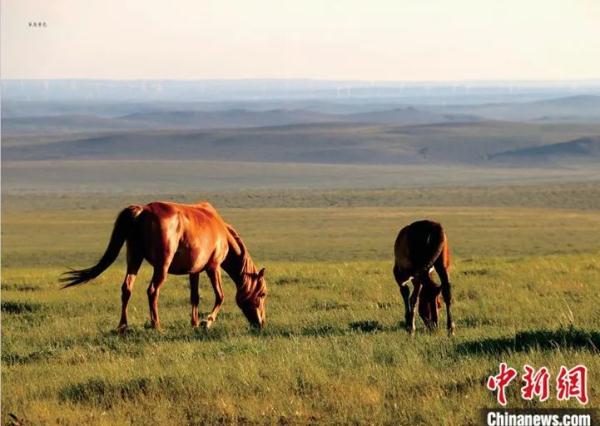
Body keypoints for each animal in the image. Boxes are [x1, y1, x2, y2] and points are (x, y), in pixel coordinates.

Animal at [61, 201, 268, 332]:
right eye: (263, 294)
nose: (261, 323)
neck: (222, 232)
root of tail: (142, 211)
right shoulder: (213, 267)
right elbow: (220, 296)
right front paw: (206, 322)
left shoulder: (194, 272)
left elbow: (195, 297)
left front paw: (194, 323)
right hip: (162, 266)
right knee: (152, 291)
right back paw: (156, 325)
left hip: (134, 259)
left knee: (126, 288)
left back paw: (123, 327)